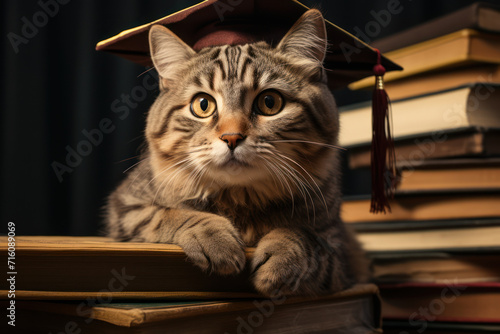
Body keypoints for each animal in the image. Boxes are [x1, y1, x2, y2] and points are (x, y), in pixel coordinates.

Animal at [105, 8, 370, 294]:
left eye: (269, 102)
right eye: (202, 104)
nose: (231, 137)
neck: (240, 198)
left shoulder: (339, 253)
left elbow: (303, 237)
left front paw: (284, 256)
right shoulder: (125, 208)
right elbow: (167, 215)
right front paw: (212, 237)